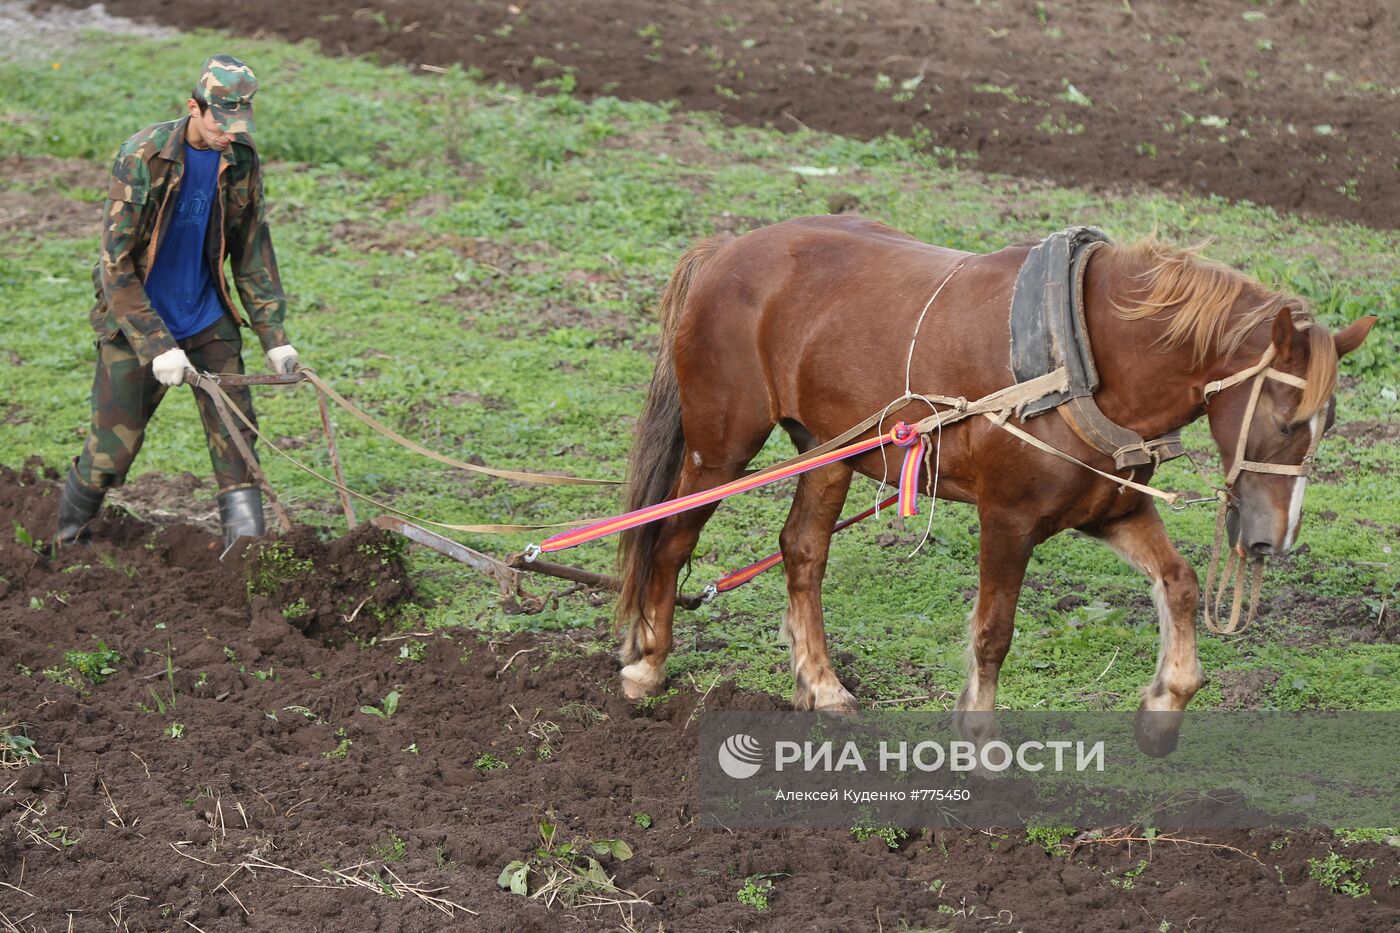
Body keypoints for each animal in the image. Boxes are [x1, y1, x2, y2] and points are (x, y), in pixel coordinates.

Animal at [616, 212, 1377, 750]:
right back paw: (646, 665)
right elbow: (993, 630)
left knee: (802, 551)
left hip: (828, 452)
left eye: (1330, 423)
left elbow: (1181, 583)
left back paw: (823, 686)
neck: (1081, 356)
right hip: (721, 447)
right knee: (671, 537)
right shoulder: (1006, 517)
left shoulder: (1113, 509)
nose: (1273, 540)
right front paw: (978, 737)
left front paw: (1165, 703)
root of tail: (724, 250)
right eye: (1283, 419)